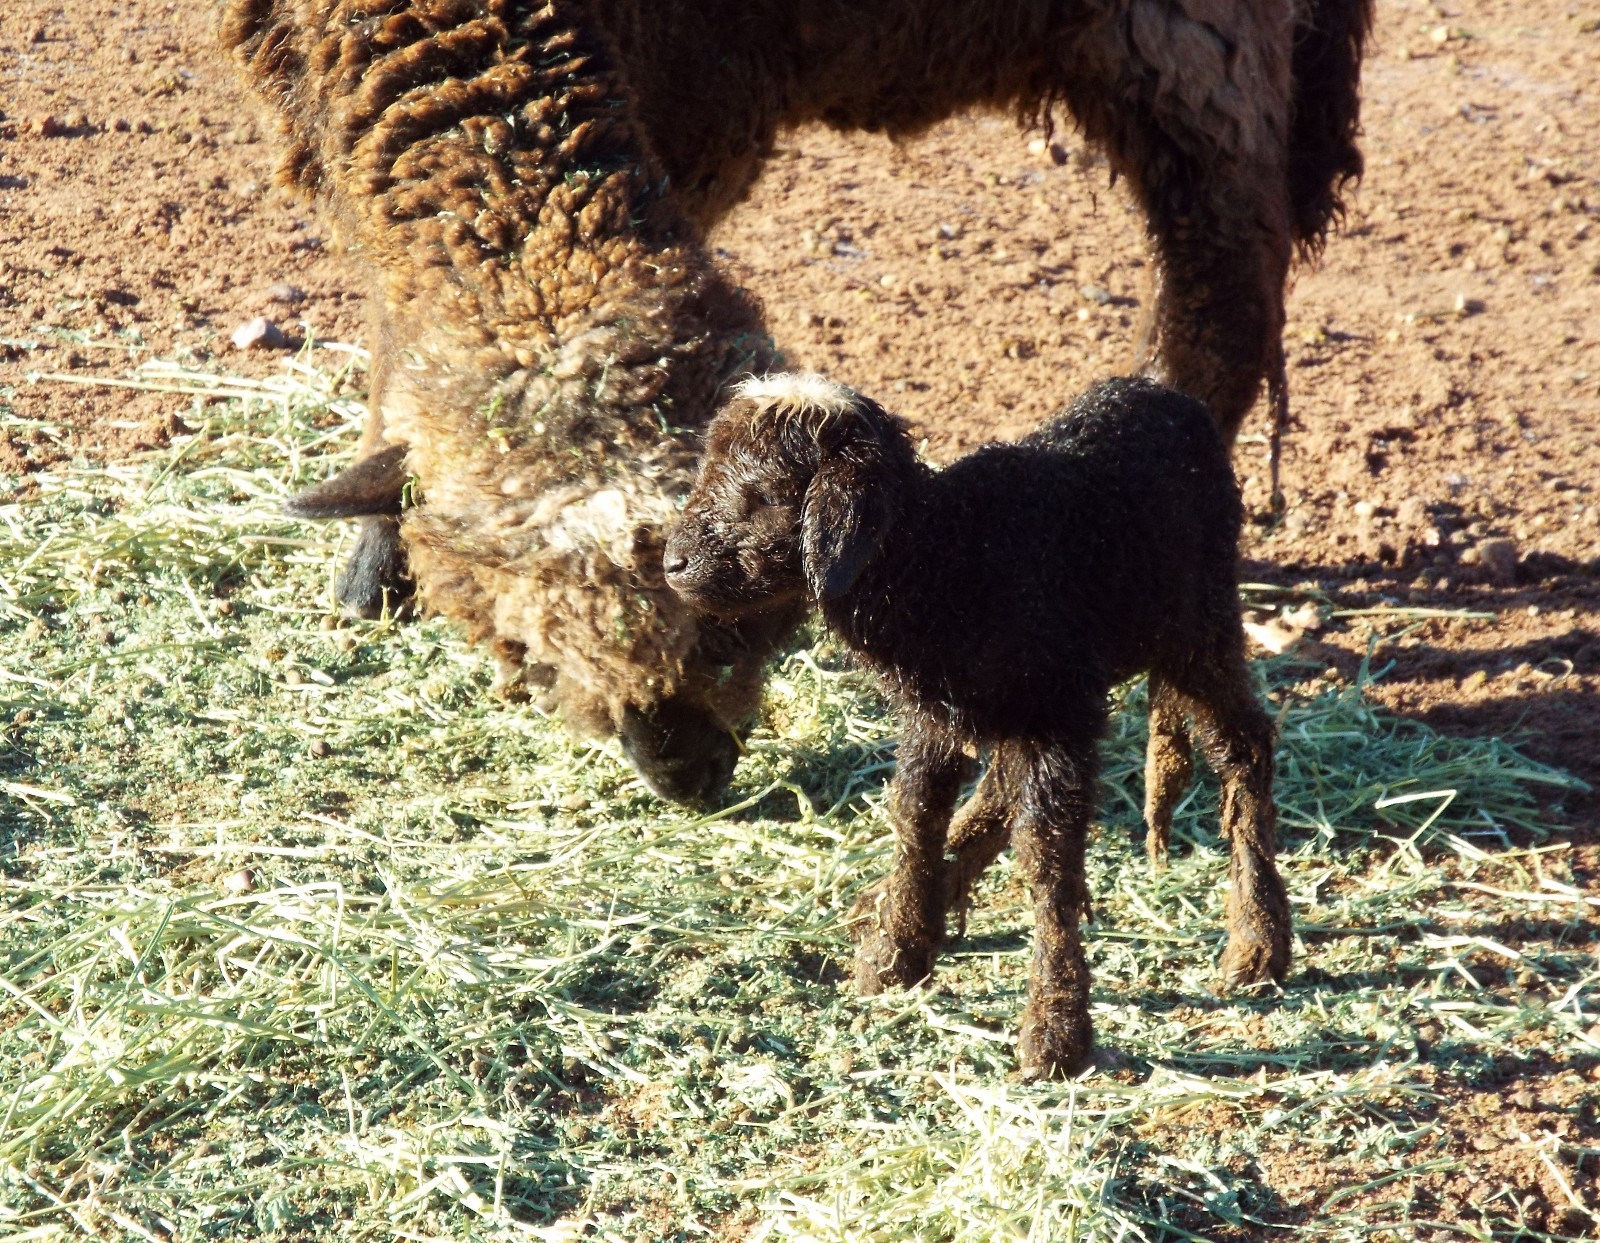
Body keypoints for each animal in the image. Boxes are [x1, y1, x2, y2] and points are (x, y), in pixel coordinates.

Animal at [222, 0, 1371, 803]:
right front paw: (372, 562)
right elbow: (392, 327)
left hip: (1193, 43)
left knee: (1222, 296)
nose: (685, 778)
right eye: (526, 650)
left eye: (727, 624)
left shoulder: (696, 98)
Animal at [662, 373, 1292, 1078]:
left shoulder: (1059, 710)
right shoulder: (937, 716)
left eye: (765, 494)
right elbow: (916, 816)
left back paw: (1258, 944)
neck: (948, 561)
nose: (672, 563)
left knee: (1244, 749)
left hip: (1197, 625)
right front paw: (897, 950)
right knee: (1001, 787)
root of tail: (1163, 394)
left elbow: (1047, 858)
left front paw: (1055, 1032)